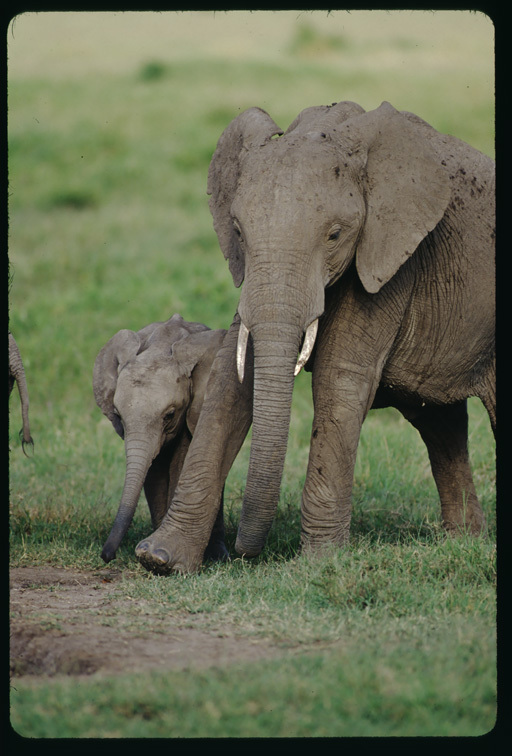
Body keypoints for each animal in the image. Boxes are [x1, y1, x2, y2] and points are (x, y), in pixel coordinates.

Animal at [92, 310, 228, 564]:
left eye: (170, 415)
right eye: (118, 415)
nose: (106, 556)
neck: (161, 346)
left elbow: (181, 461)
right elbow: (153, 472)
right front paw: (148, 550)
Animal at [135, 100, 492, 572]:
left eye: (336, 235)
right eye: (238, 232)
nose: (244, 554)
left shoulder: (390, 261)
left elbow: (338, 381)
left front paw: (321, 563)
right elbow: (233, 383)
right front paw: (159, 558)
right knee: (441, 424)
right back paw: (462, 541)